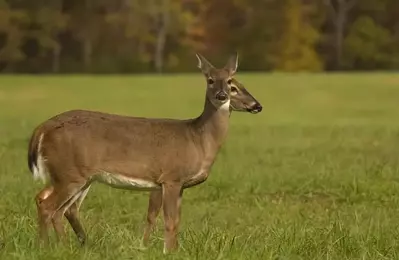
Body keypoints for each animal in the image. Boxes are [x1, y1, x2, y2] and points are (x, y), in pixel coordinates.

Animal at [25, 52, 262, 254]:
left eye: (231, 82)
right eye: (211, 80)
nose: (257, 105)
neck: (198, 139)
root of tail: (43, 128)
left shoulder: (175, 185)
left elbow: (173, 220)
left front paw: (169, 250)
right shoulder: (171, 178)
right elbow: (169, 221)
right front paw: (167, 252)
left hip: (74, 176)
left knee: (56, 206)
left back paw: (66, 247)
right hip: (71, 174)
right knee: (49, 206)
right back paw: (45, 248)